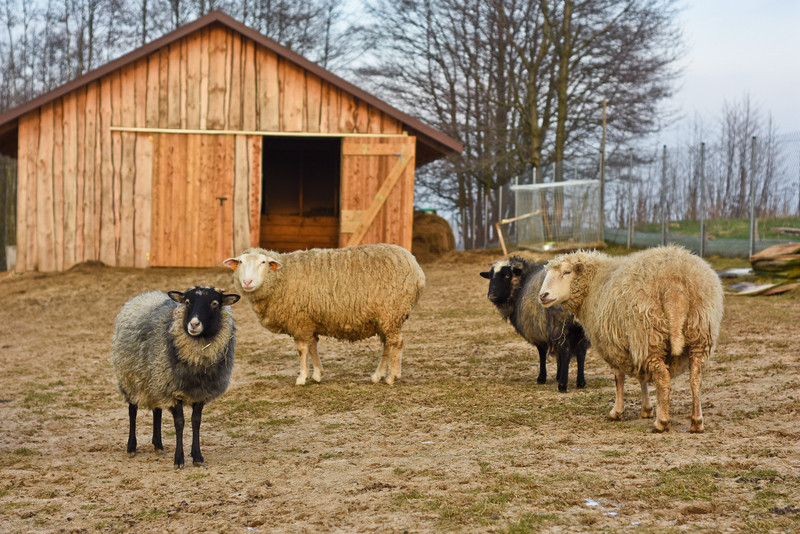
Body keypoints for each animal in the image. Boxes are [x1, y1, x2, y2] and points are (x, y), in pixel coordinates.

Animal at [111, 288, 239, 468]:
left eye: (215, 303)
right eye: (187, 302)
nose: (194, 324)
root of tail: (146, 294)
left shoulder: (200, 392)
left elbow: (196, 421)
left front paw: (197, 456)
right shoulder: (172, 390)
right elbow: (179, 423)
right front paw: (179, 459)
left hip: (155, 379)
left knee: (157, 411)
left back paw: (158, 445)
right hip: (130, 378)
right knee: (132, 411)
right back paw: (131, 447)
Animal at [222, 245, 428, 388]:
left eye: (263, 262)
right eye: (240, 262)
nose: (247, 282)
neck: (281, 277)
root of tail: (416, 266)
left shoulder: (300, 321)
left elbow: (302, 350)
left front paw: (302, 377)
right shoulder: (310, 321)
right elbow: (313, 347)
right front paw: (317, 375)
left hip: (391, 313)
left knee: (396, 344)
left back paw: (392, 377)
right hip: (385, 318)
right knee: (387, 345)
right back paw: (378, 376)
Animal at [478, 258, 592, 392]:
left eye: (506, 276)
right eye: (491, 277)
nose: (492, 295)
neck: (522, 284)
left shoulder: (537, 330)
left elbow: (542, 354)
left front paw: (542, 378)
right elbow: (559, 354)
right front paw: (558, 375)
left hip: (560, 325)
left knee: (566, 351)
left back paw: (562, 385)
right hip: (581, 329)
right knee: (581, 352)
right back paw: (581, 382)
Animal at [536, 247, 724, 436]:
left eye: (567, 272)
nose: (543, 295)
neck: (593, 284)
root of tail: (675, 286)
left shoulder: (614, 344)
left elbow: (619, 378)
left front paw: (617, 412)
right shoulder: (632, 345)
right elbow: (643, 377)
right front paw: (646, 409)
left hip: (648, 332)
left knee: (663, 378)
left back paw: (661, 422)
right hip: (698, 331)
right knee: (695, 378)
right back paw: (696, 422)